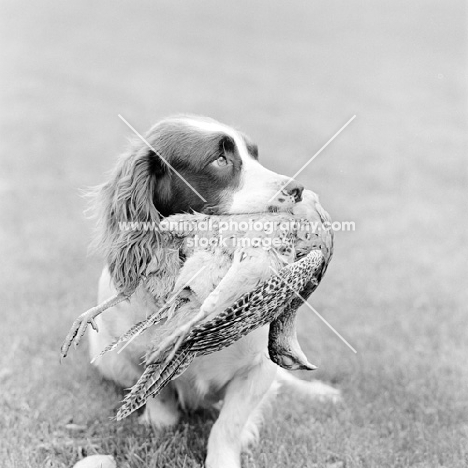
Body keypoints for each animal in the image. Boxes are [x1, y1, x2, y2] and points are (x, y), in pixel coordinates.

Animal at [88, 116, 338, 468]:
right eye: (220, 160)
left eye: (255, 155)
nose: (297, 190)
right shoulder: (133, 355)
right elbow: (162, 403)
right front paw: (158, 420)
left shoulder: (258, 368)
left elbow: (228, 425)